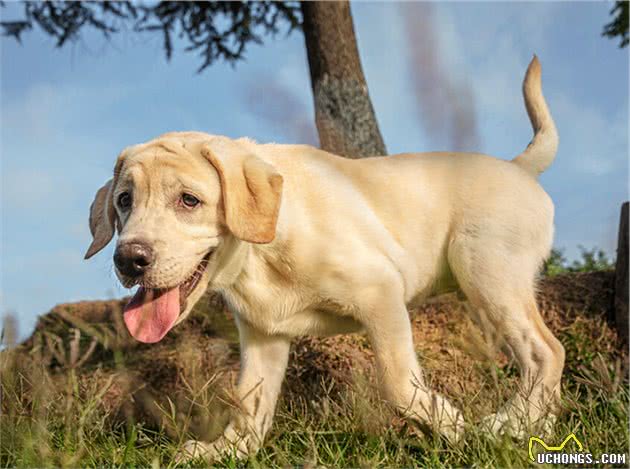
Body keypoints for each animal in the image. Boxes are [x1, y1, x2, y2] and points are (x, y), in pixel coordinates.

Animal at [85, 55, 568, 460]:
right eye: (124, 201)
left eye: (189, 200)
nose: (129, 260)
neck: (257, 258)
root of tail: (519, 167)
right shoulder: (263, 336)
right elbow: (249, 402)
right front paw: (226, 451)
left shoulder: (381, 293)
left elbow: (397, 383)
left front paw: (452, 427)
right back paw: (537, 433)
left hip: (486, 271)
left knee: (546, 351)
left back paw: (507, 425)